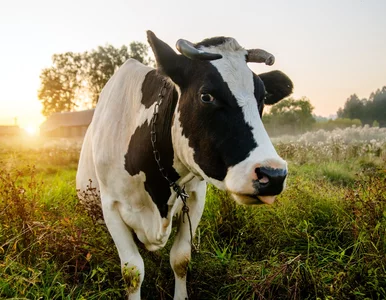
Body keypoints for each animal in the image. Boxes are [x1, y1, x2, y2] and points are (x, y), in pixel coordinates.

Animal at [75, 31, 292, 300]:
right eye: (206, 96)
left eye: (261, 98)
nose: (273, 174)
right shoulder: (111, 207)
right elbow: (133, 271)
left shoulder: (196, 199)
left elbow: (180, 259)